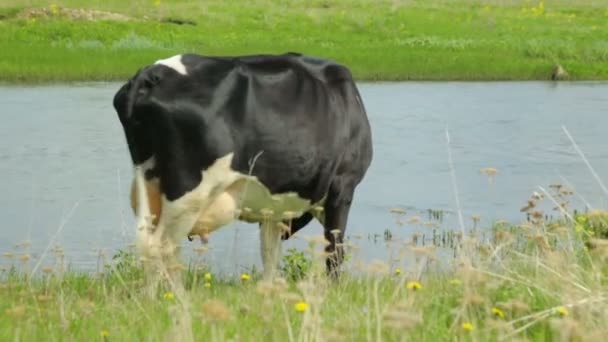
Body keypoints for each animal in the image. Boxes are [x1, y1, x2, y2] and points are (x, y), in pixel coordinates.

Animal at [111, 52, 372, 290]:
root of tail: (151, 74)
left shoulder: (274, 207)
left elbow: (270, 252)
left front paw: (268, 291)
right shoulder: (343, 185)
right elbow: (334, 248)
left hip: (148, 182)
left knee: (148, 244)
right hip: (188, 191)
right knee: (163, 246)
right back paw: (178, 297)